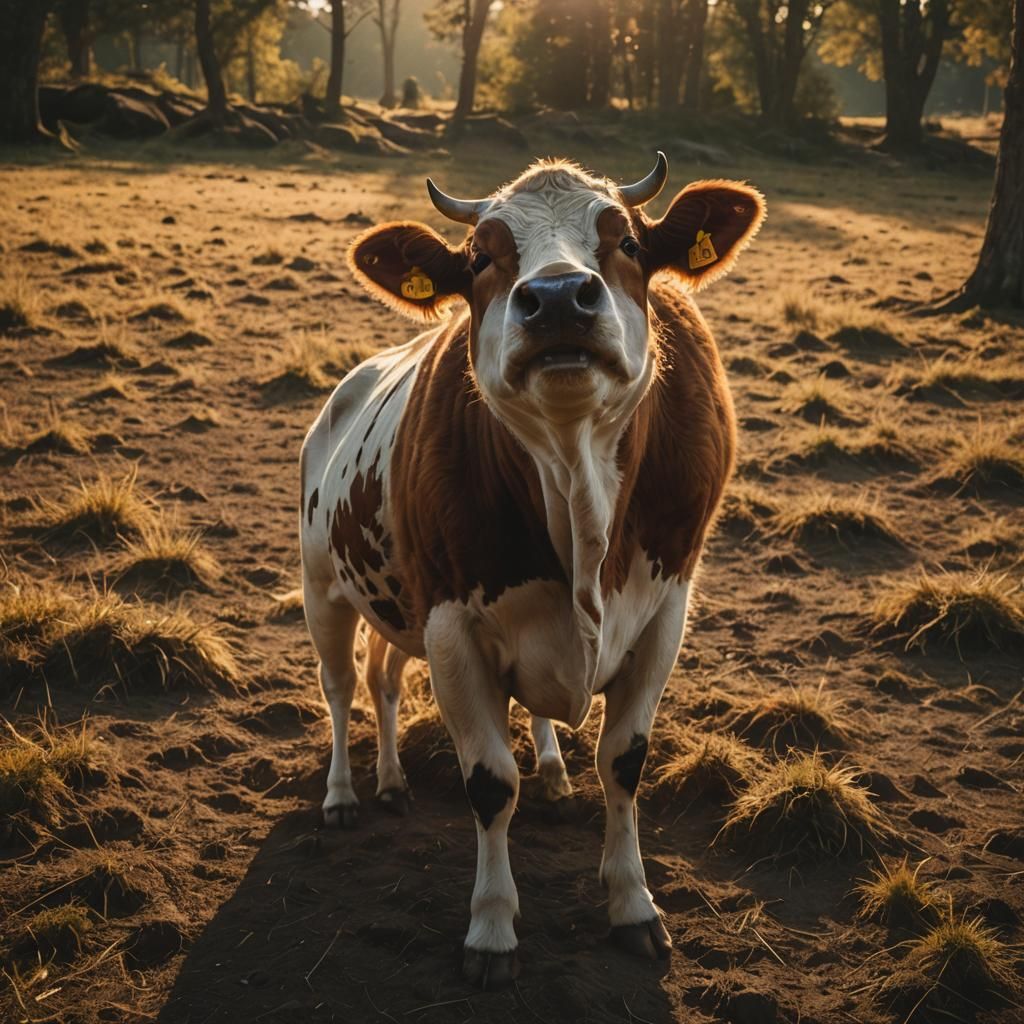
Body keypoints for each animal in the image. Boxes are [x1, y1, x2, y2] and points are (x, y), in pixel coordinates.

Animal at [299, 153, 765, 989]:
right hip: (326, 588)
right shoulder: (450, 624)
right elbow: (489, 781)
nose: (555, 299)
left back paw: (431, 777)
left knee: (390, 682)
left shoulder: (665, 612)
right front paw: (491, 927)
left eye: (629, 243)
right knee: (345, 685)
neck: (576, 487)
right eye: (482, 257)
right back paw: (347, 792)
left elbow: (624, 761)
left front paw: (632, 904)